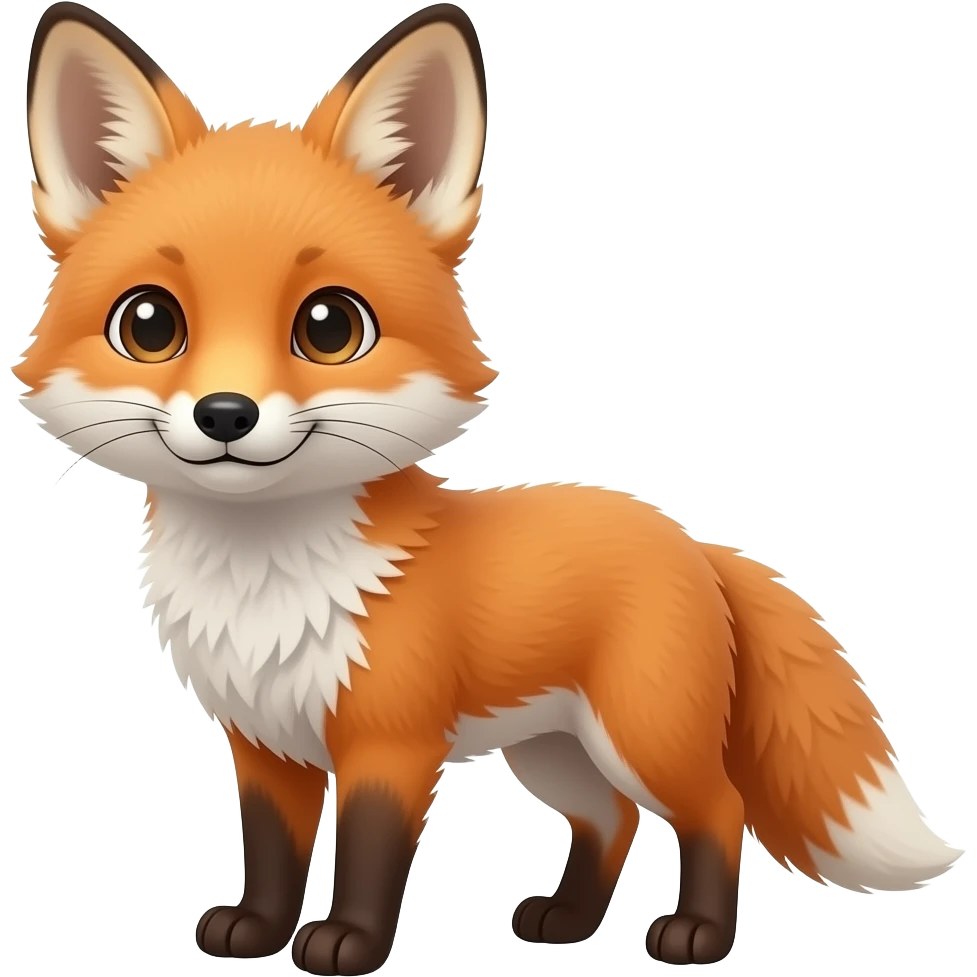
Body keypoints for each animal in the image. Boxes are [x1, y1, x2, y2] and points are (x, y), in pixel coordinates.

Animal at [18, 2, 967, 974]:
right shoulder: (266, 746)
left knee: (715, 808)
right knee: (610, 821)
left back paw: (695, 934)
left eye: (329, 326)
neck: (264, 582)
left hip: (641, 734)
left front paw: (349, 942)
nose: (224, 414)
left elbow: (369, 851)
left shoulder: (391, 742)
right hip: (554, 751)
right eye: (149, 324)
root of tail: (692, 541)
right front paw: (255, 927)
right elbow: (273, 850)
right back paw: (567, 920)